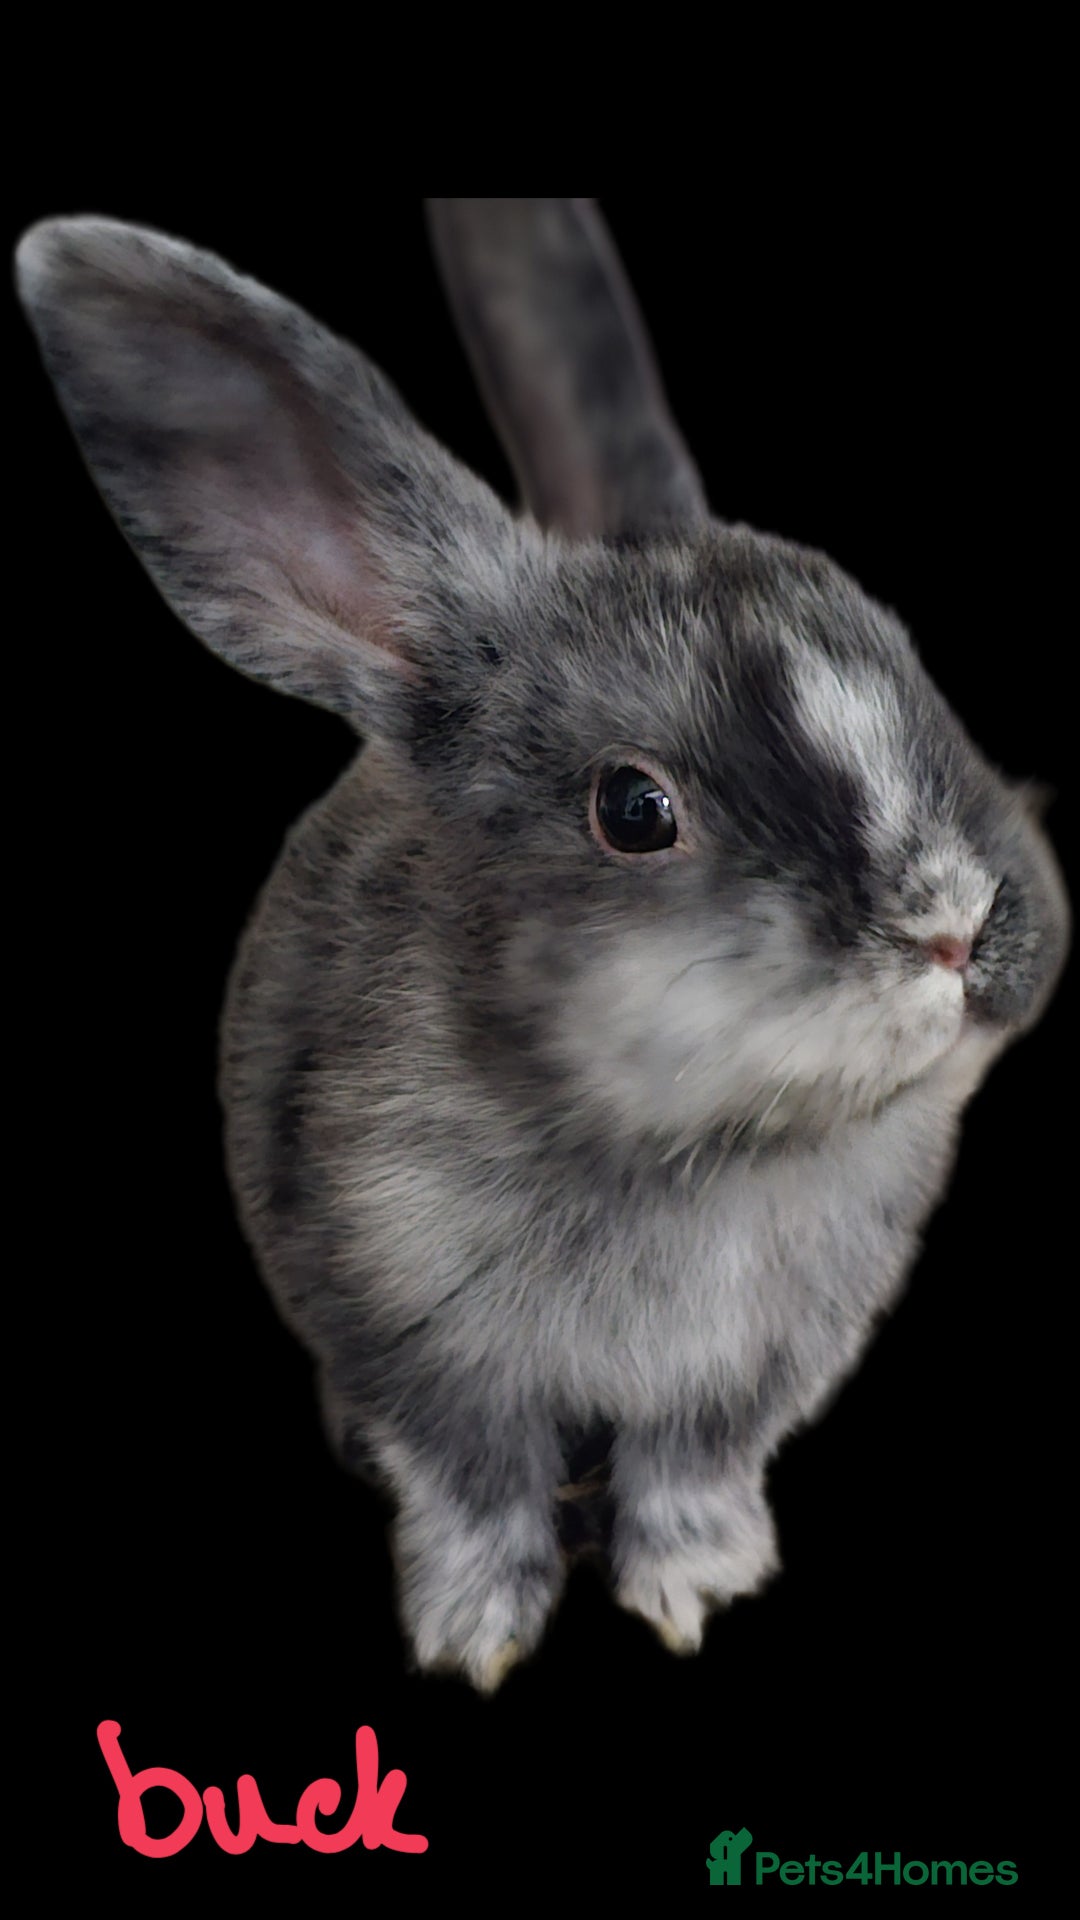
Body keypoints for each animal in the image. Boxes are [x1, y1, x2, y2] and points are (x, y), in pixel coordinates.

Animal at [15, 198, 1069, 1693]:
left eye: (910, 667)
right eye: (634, 811)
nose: (960, 928)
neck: (690, 1152)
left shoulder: (742, 1379)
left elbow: (687, 1472)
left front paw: (694, 1590)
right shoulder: (413, 1336)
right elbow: (476, 1485)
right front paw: (478, 1636)